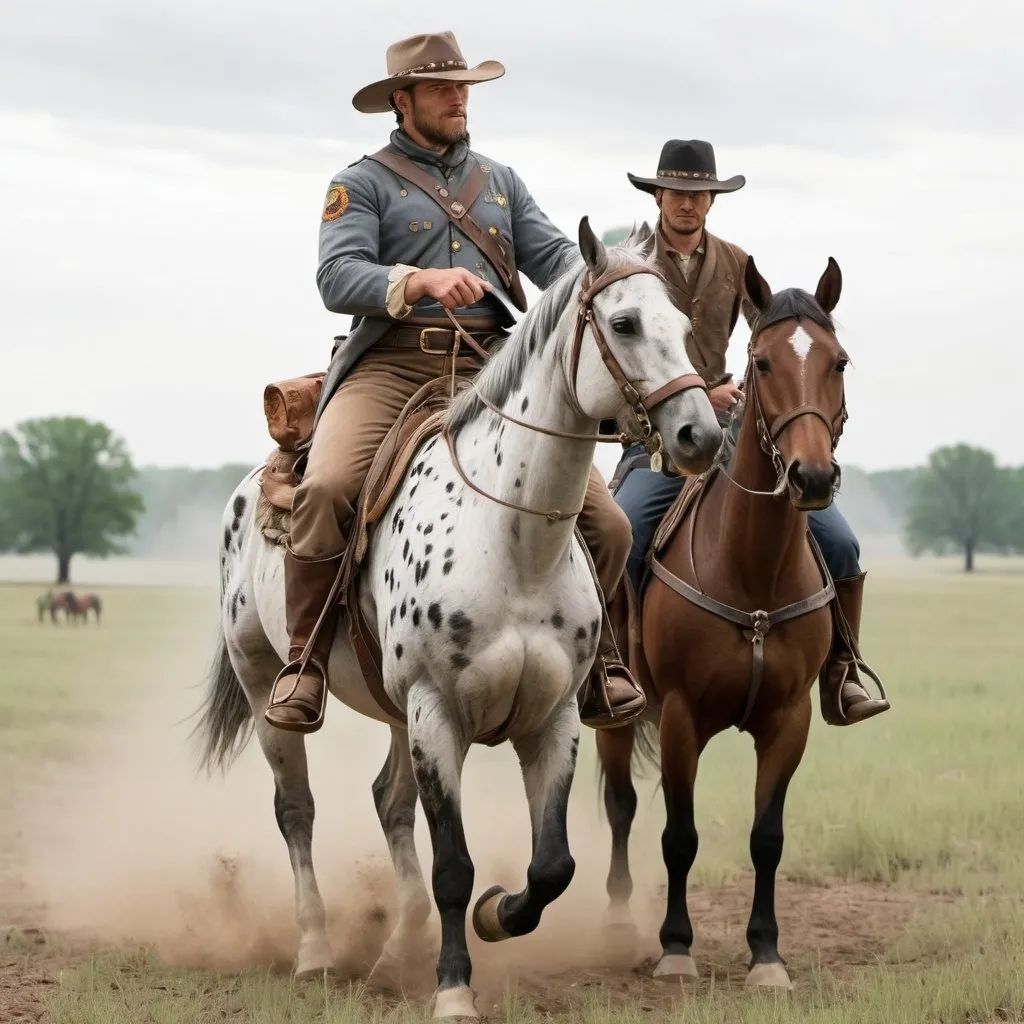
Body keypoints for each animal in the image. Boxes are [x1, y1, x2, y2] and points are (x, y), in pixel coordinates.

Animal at [192, 218, 720, 1015]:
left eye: (685, 328)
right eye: (625, 323)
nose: (702, 435)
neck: (512, 538)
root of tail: (255, 483)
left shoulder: (554, 719)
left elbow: (552, 866)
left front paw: (497, 917)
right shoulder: (436, 713)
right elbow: (453, 867)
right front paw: (453, 990)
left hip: (392, 712)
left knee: (387, 803)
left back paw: (393, 950)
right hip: (265, 686)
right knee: (297, 811)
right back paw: (317, 951)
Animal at [598, 253, 868, 991]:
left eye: (837, 361)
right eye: (764, 362)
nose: (811, 477)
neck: (752, 570)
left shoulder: (789, 720)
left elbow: (766, 837)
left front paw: (767, 955)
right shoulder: (681, 716)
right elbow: (678, 834)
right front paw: (675, 948)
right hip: (614, 715)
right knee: (620, 808)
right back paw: (620, 924)